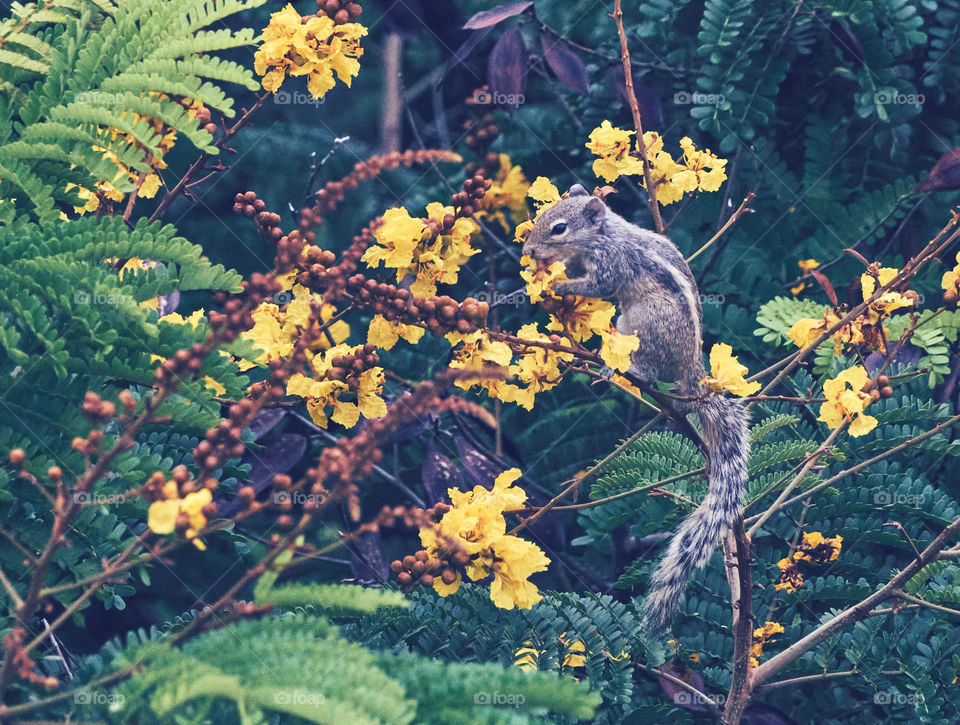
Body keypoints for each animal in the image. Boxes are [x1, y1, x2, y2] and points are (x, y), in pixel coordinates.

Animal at [524, 184, 752, 636]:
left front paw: (557, 285)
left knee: (646, 364)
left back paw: (616, 366)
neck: (603, 234)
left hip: (644, 325)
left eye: (559, 228)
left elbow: (598, 285)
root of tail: (691, 369)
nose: (529, 251)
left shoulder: (610, 266)